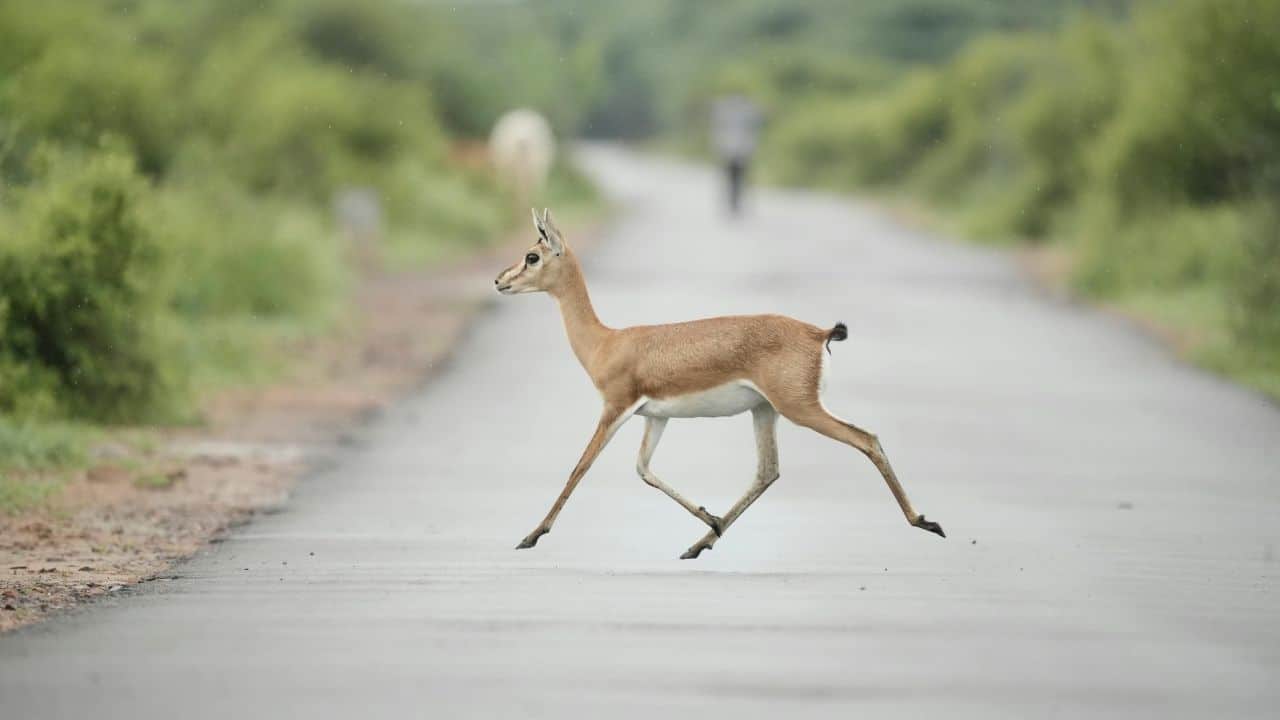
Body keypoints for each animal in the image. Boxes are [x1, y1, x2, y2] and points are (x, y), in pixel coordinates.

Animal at [495, 209, 945, 559]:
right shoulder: (655, 417)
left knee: (866, 439)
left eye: (532, 255)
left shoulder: (615, 408)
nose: (499, 281)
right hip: (765, 410)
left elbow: (580, 467)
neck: (607, 342)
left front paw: (530, 536)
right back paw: (700, 543)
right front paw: (709, 518)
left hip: (800, 409)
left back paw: (926, 522)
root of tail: (819, 333)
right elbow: (643, 469)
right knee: (768, 471)